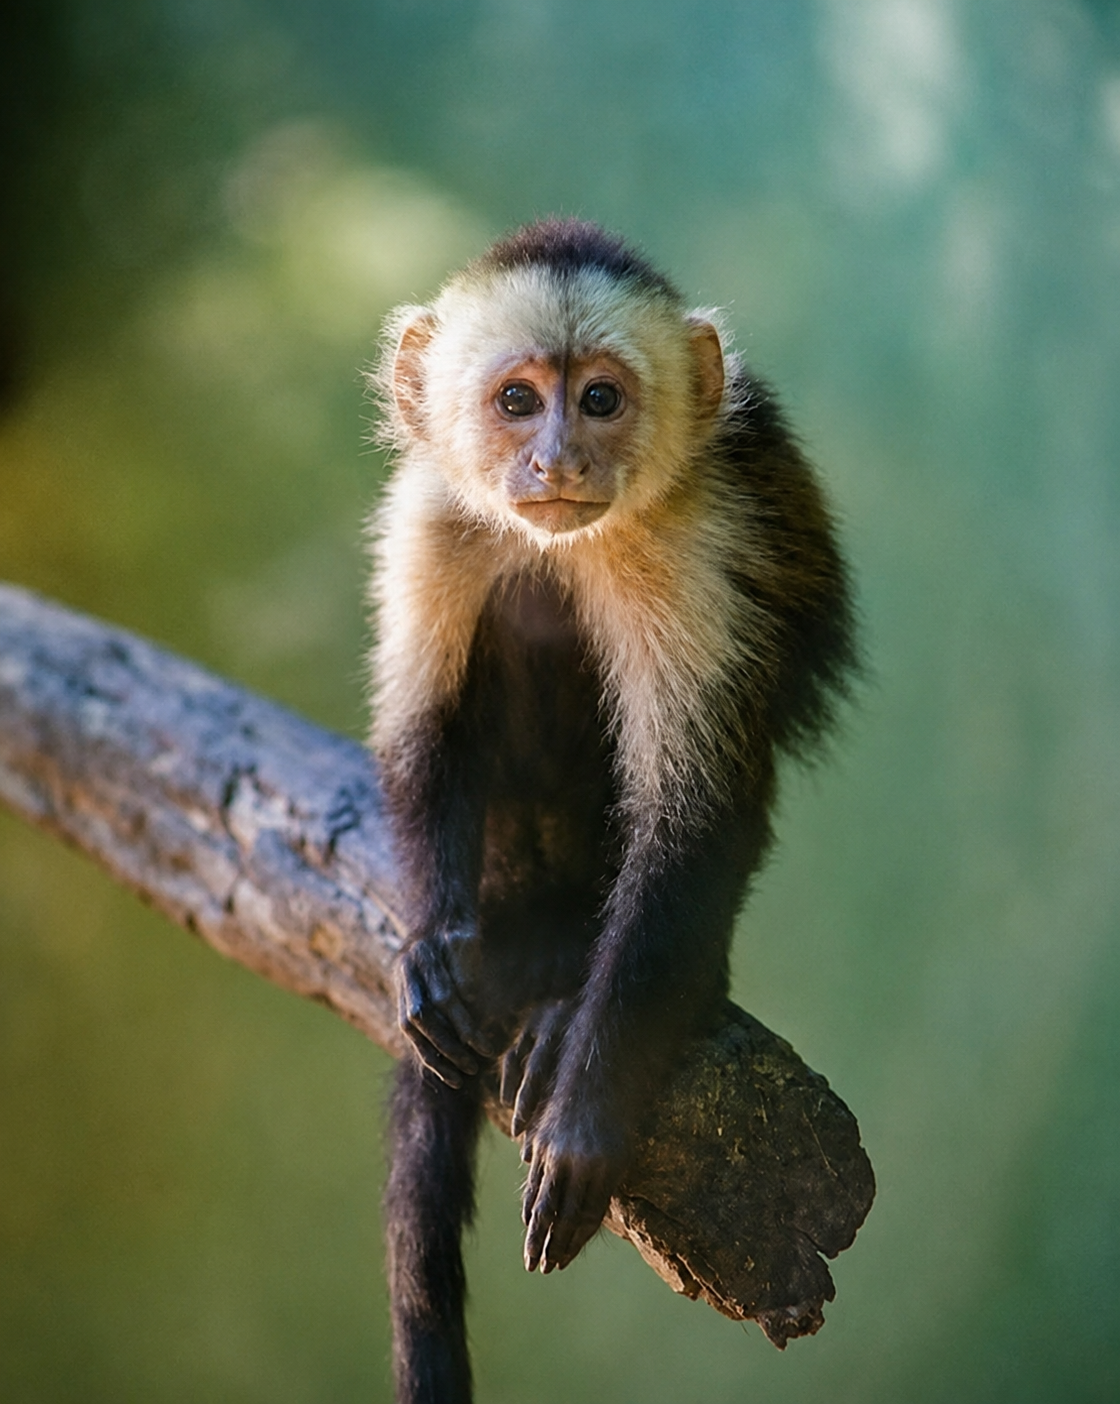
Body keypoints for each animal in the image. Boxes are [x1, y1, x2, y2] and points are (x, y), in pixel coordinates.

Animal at [366, 218, 857, 1404]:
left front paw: (590, 1111)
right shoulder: (429, 517)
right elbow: (420, 738)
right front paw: (431, 946)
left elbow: (694, 823)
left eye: (598, 400)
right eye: (515, 401)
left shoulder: (694, 543)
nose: (556, 461)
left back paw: (563, 976)